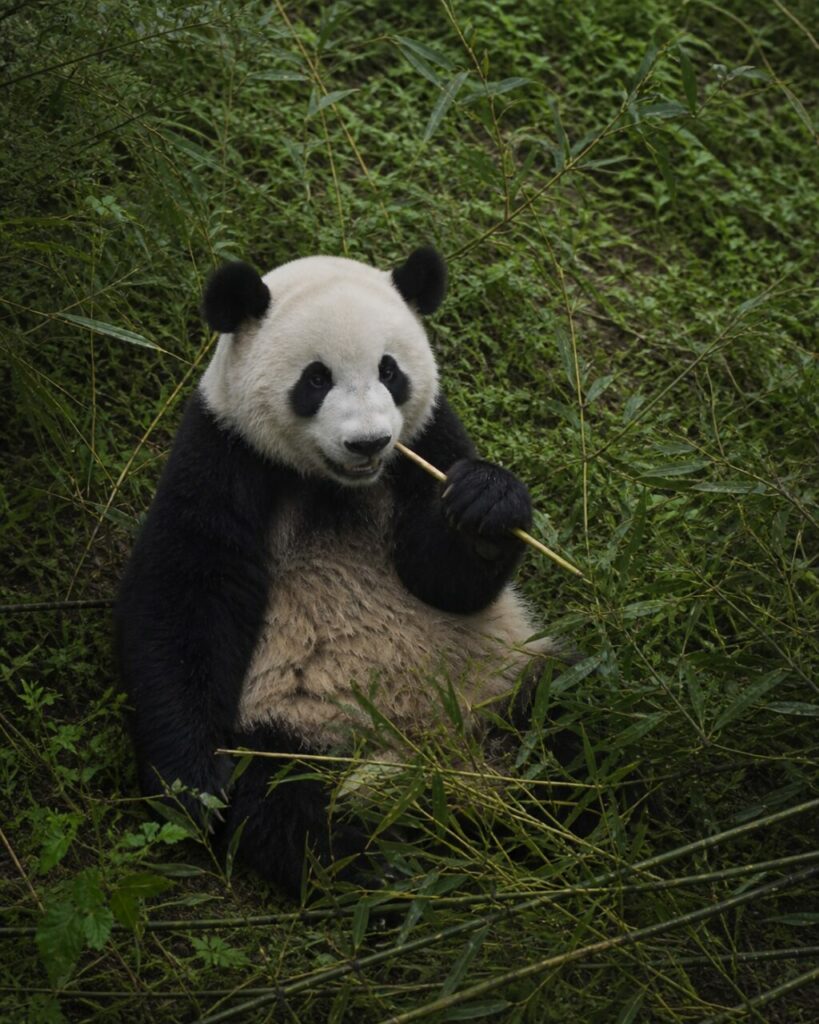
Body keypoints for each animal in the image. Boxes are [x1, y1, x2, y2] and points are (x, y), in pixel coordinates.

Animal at [115, 246, 564, 896]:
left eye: (390, 372)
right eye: (316, 379)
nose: (369, 442)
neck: (336, 485)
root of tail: (438, 758)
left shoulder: (426, 441)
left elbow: (444, 580)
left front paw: (486, 503)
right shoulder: (223, 451)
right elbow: (183, 597)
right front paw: (193, 786)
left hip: (502, 682)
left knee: (577, 718)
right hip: (302, 727)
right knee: (288, 808)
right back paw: (382, 869)